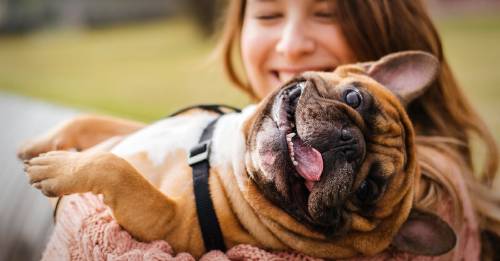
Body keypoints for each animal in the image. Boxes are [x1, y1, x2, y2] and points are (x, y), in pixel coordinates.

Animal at [20, 50, 458, 258]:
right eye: (354, 98)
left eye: (368, 189)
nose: (349, 142)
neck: (230, 154)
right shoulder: (139, 129)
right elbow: (94, 123)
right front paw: (44, 143)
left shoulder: (169, 223)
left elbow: (116, 167)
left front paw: (59, 168)